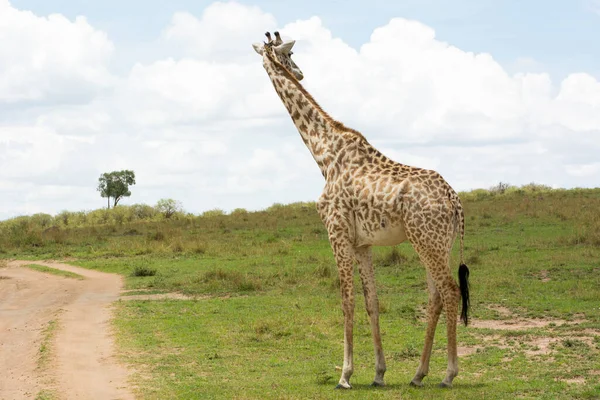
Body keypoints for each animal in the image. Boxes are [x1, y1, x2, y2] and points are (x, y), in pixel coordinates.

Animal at [251, 32, 472, 390]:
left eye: (291, 54)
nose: (299, 73)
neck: (324, 154)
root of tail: (455, 201)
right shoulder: (362, 243)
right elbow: (372, 302)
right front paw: (379, 373)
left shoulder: (336, 232)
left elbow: (346, 300)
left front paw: (345, 375)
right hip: (439, 243)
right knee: (436, 295)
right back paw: (418, 374)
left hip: (427, 241)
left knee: (450, 291)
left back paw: (449, 374)